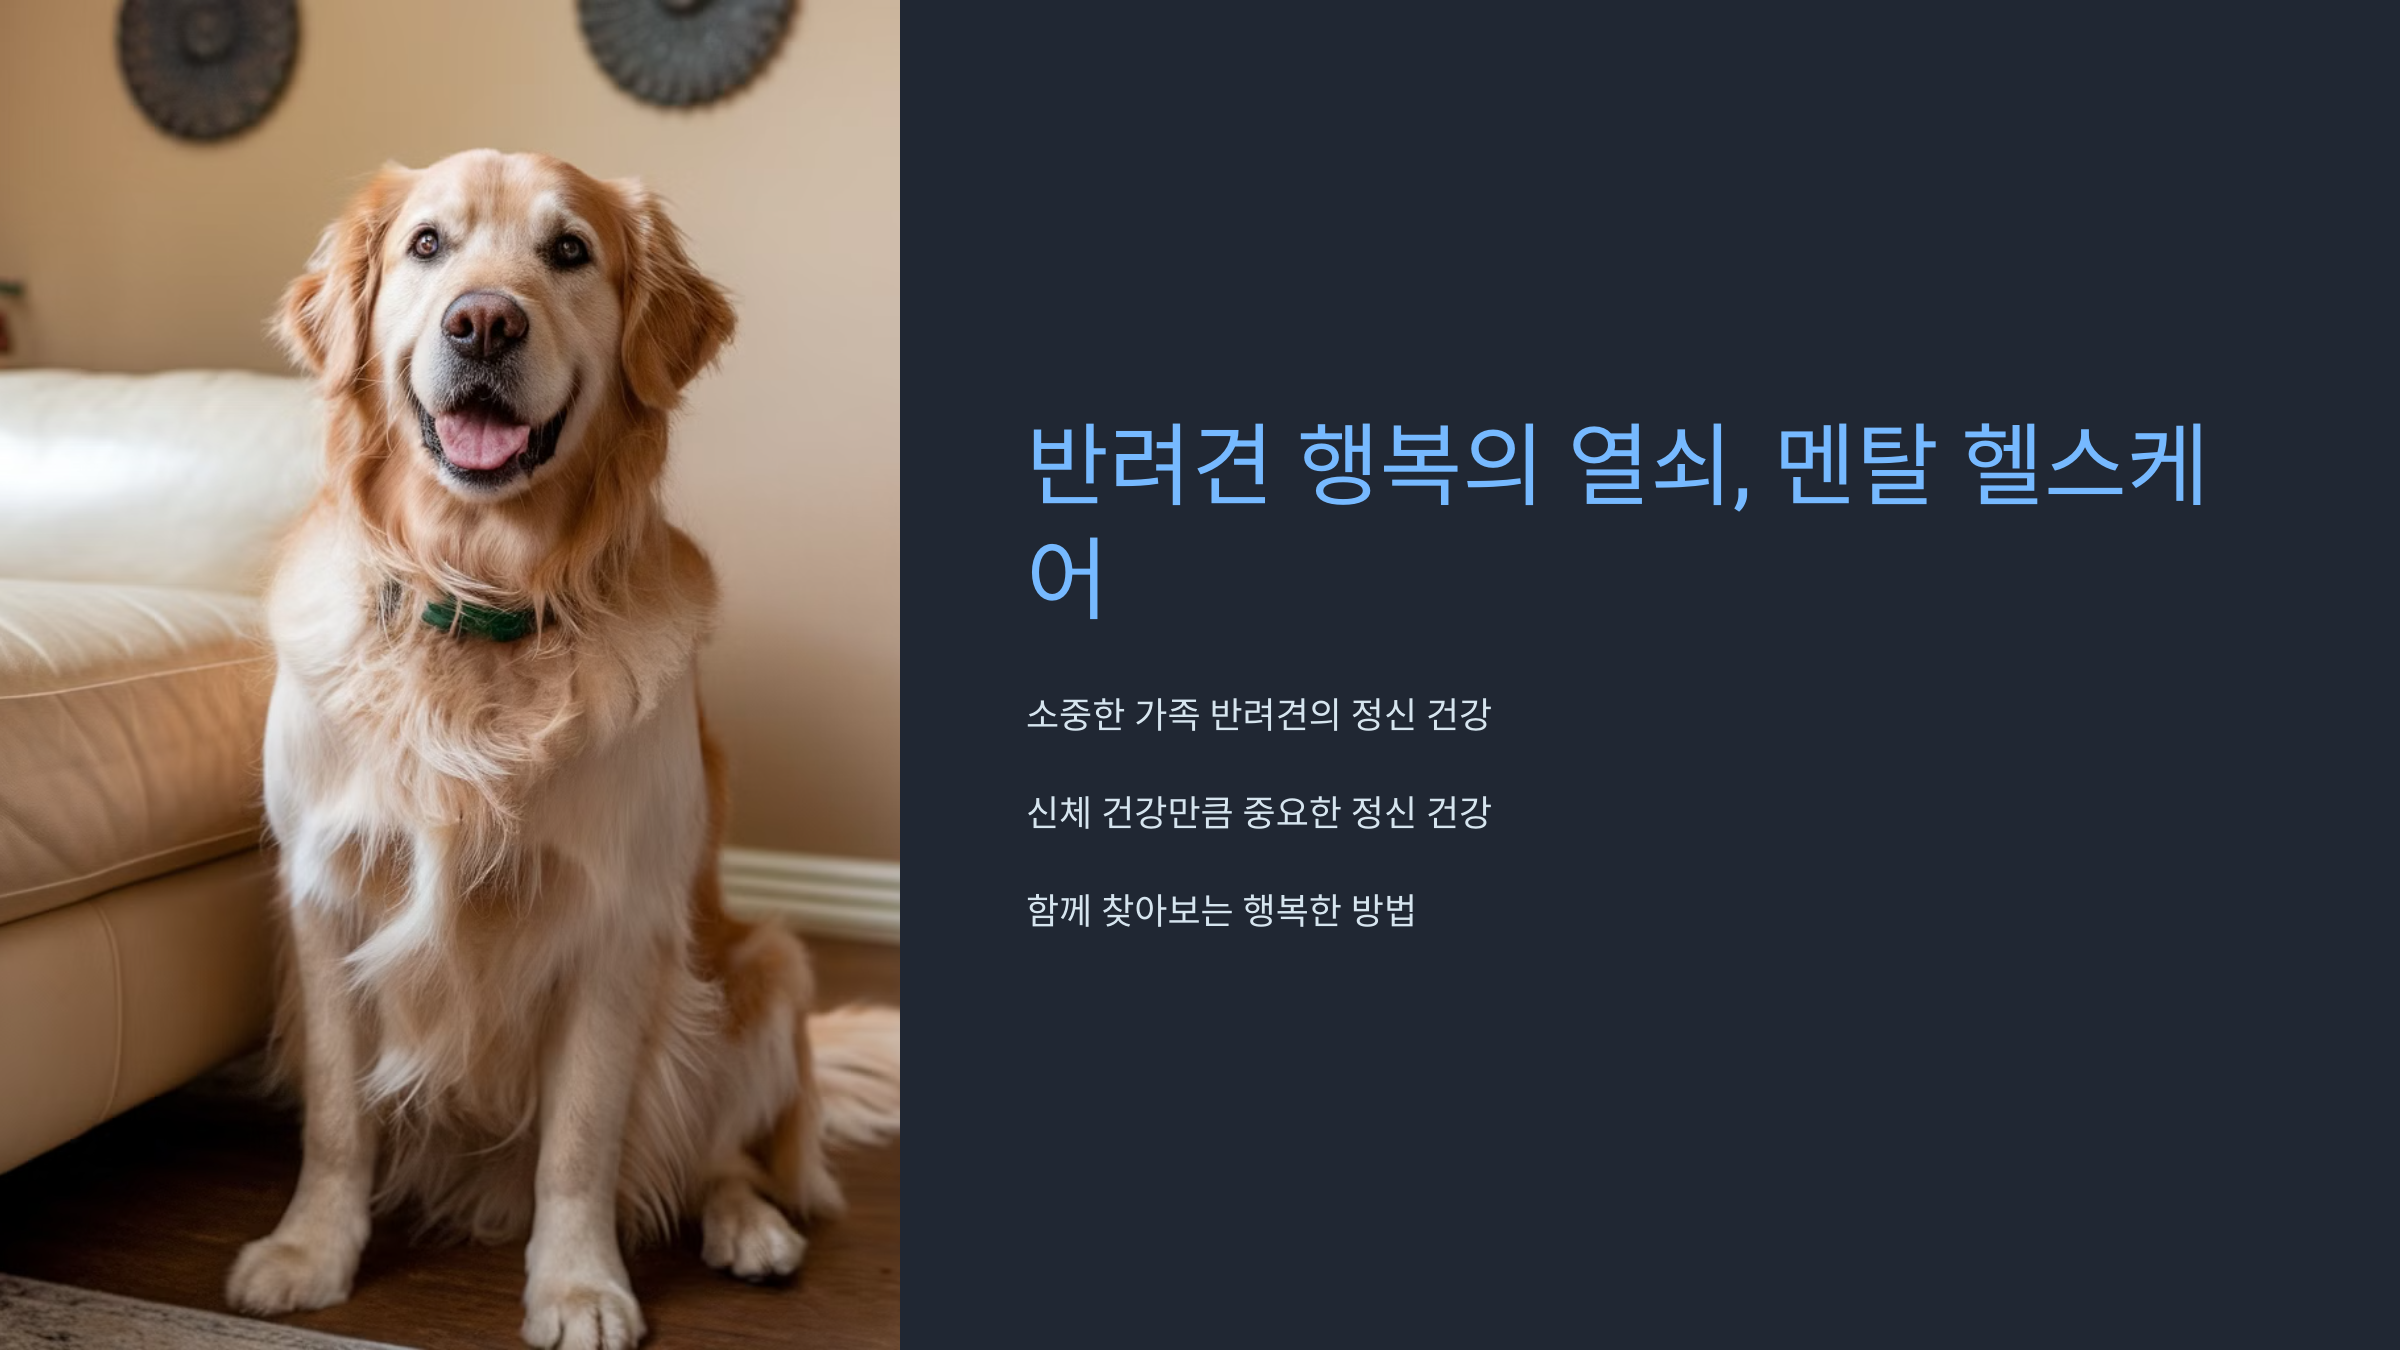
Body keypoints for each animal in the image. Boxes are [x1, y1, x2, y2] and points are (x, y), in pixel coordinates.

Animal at [224, 149, 898, 1350]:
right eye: (428, 245)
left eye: (570, 250)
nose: (485, 322)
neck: (481, 598)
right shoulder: (323, 899)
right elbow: (340, 1122)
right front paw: (309, 1252)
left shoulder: (616, 926)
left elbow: (583, 1144)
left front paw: (579, 1287)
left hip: (761, 973)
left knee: (715, 1154)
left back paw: (751, 1230)